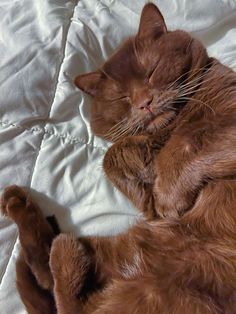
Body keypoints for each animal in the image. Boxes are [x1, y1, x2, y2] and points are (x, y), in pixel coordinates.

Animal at [1, 3, 236, 314]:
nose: (144, 103)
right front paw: (143, 179)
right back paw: (20, 206)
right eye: (121, 98)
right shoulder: (149, 204)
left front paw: (167, 194)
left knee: (62, 294)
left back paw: (63, 253)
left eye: (152, 72)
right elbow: (113, 155)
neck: (175, 121)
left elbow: (189, 140)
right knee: (50, 282)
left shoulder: (221, 123)